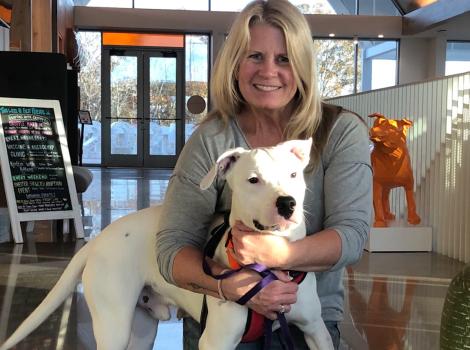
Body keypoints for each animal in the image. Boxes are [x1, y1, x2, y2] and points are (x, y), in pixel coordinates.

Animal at [0, 139, 334, 350]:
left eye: (293, 174)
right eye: (253, 180)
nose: (287, 203)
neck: (271, 266)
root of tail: (98, 240)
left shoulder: (316, 330)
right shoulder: (216, 341)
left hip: (142, 331)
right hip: (114, 326)